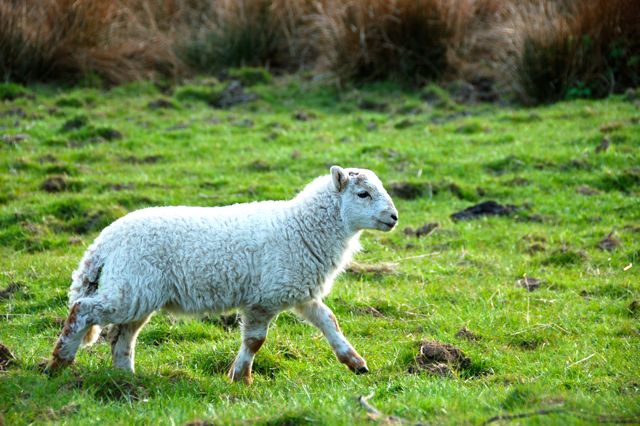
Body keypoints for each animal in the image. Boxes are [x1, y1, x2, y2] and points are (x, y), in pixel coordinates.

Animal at [47, 165, 399, 383]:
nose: (394, 217)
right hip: (130, 290)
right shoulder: (264, 299)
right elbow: (255, 341)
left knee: (121, 336)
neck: (302, 227)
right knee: (82, 310)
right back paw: (58, 363)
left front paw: (355, 363)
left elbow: (329, 322)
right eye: (363, 194)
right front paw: (240, 377)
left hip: (137, 292)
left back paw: (125, 377)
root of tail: (103, 242)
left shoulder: (298, 291)